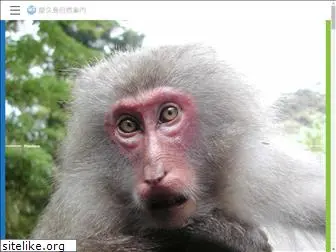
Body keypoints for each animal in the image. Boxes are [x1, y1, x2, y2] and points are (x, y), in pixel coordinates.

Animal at [30, 44, 324, 251]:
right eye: (128, 125)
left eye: (169, 114)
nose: (155, 174)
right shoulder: (83, 207)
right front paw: (223, 239)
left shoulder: (268, 176)